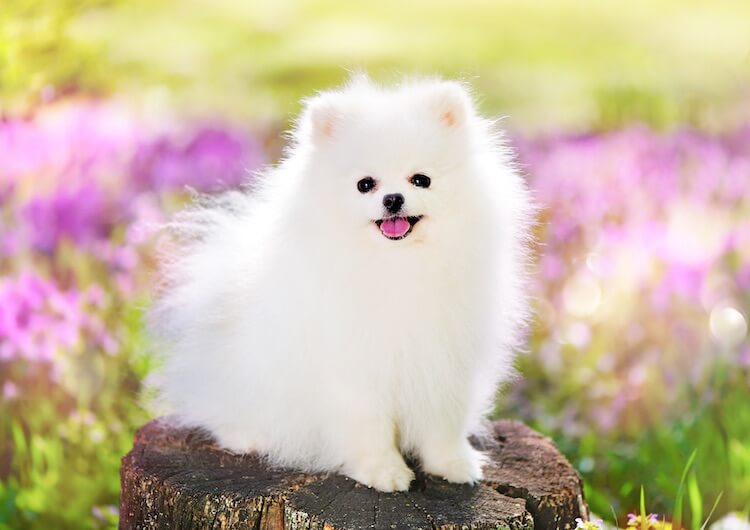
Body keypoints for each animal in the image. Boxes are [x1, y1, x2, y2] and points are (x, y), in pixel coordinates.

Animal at [153, 75, 536, 490]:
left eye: (421, 180)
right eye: (365, 184)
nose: (393, 199)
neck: (398, 266)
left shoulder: (444, 360)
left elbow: (443, 424)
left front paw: (453, 464)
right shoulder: (354, 368)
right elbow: (370, 428)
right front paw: (384, 472)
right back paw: (248, 438)